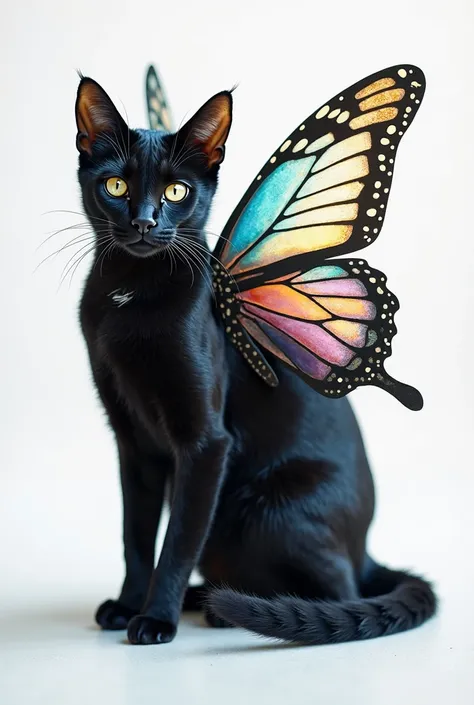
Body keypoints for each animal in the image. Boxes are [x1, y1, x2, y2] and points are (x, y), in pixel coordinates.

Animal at [75, 75, 436, 644]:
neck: (129, 297)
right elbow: (136, 536)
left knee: (341, 593)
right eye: (114, 186)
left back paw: (232, 611)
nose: (145, 222)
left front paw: (155, 619)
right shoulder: (133, 444)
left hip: (268, 511)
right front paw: (130, 604)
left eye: (177, 191)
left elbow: (177, 541)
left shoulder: (206, 445)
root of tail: (366, 553)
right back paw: (206, 599)